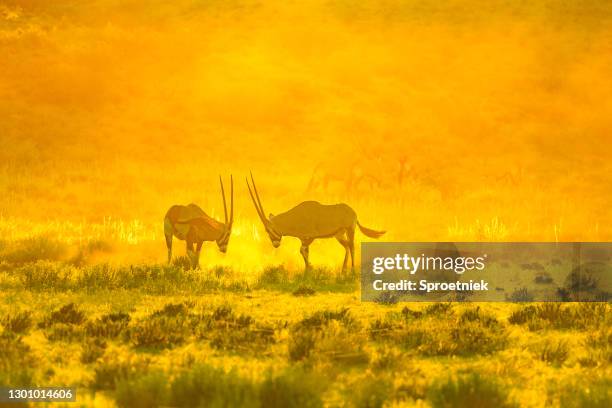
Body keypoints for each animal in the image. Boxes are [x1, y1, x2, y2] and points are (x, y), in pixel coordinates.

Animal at [246, 172, 384, 270]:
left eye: (268, 229)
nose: (275, 244)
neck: (294, 217)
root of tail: (353, 211)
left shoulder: (310, 237)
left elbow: (302, 251)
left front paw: (311, 269)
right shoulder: (303, 239)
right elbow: (305, 252)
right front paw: (307, 273)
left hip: (350, 230)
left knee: (352, 246)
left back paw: (352, 270)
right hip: (339, 235)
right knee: (347, 247)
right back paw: (343, 270)